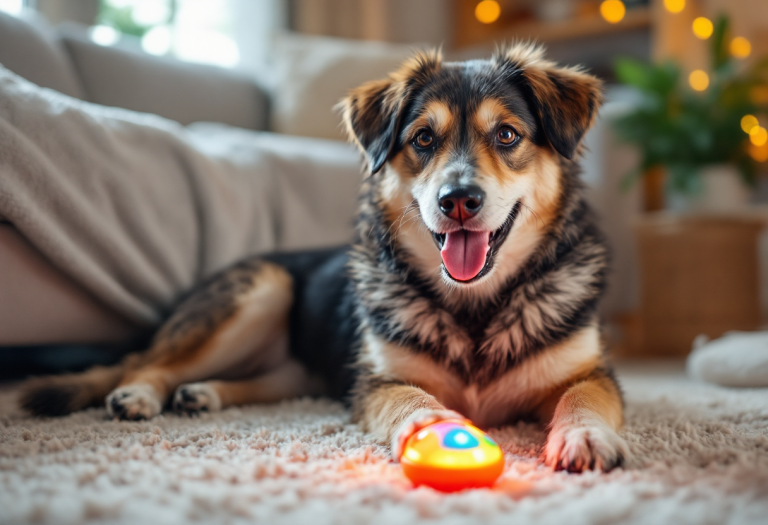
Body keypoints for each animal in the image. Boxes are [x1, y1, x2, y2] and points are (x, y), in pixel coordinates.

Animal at [21, 44, 628, 470]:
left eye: (506, 135)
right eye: (423, 139)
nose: (457, 199)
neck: (475, 303)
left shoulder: (589, 370)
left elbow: (584, 398)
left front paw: (586, 436)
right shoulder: (376, 382)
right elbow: (411, 398)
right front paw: (433, 428)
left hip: (297, 364)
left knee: (264, 380)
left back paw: (205, 393)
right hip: (262, 290)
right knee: (146, 362)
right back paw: (140, 393)